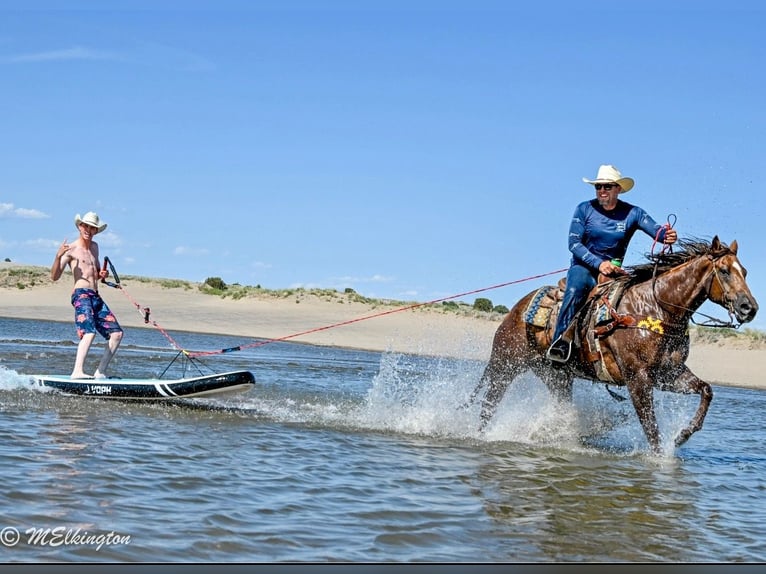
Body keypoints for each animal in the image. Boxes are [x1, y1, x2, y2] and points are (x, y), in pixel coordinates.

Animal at [471, 236, 758, 452]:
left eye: (744, 272)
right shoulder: (638, 378)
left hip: (556, 376)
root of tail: (517, 309)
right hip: (505, 365)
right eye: (724, 271)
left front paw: (683, 435)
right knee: (488, 405)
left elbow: (706, 390)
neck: (655, 309)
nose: (750, 308)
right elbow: (651, 429)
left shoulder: (668, 374)